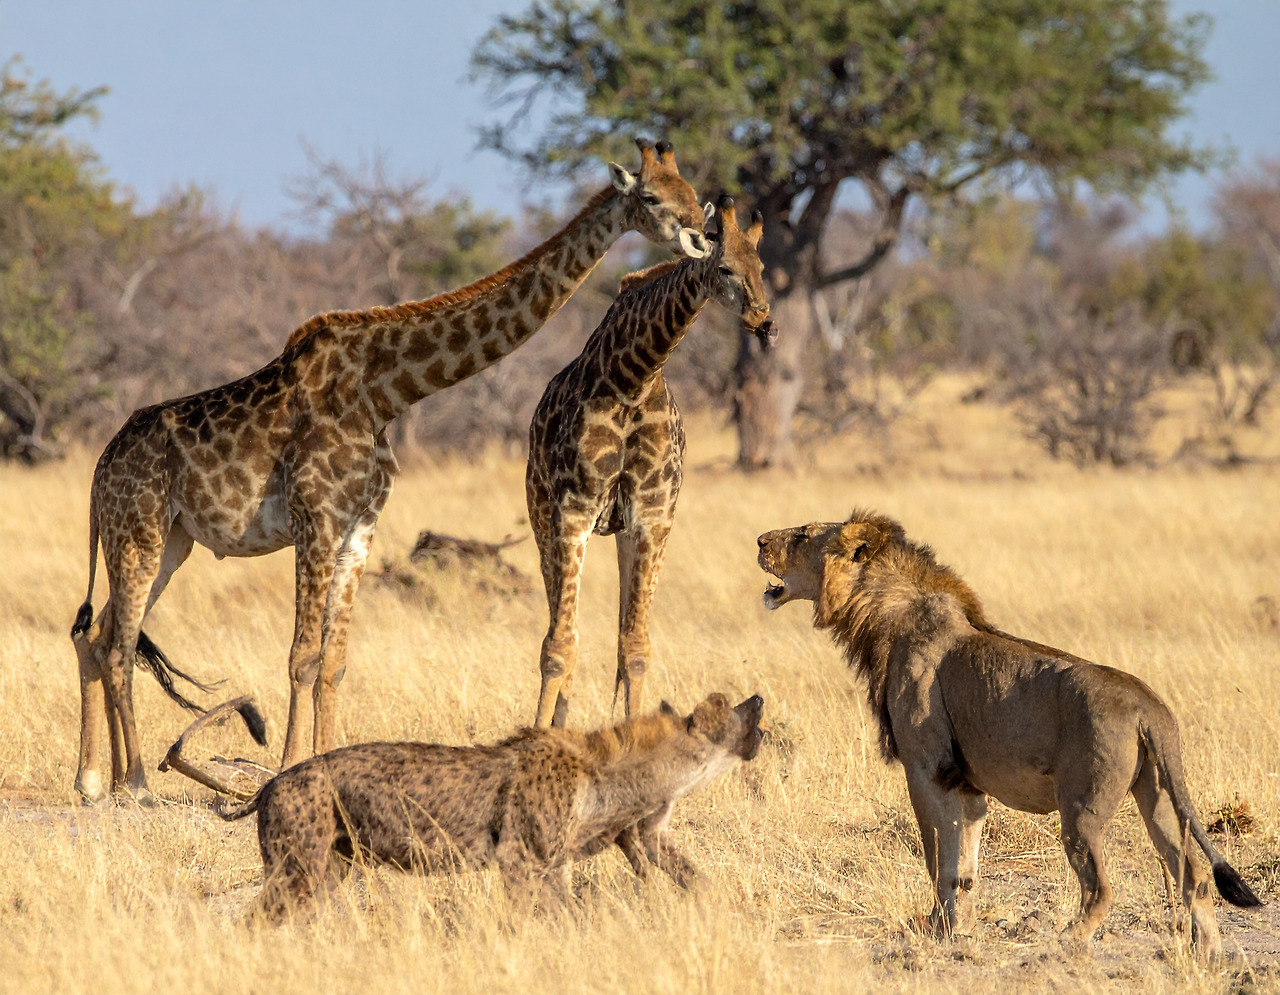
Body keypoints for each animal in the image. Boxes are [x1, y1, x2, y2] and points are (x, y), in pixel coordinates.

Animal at [70, 139, 709, 804]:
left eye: (694, 191)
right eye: (652, 197)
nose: (702, 237)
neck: (385, 390)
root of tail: (99, 469)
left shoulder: (358, 530)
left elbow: (334, 661)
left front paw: (326, 770)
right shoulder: (316, 520)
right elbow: (302, 656)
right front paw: (286, 770)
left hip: (168, 542)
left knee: (99, 635)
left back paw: (96, 780)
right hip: (138, 535)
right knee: (117, 646)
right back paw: (135, 781)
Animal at [216, 693, 764, 918]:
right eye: (724, 704)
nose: (758, 698)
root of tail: (271, 781)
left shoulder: (552, 866)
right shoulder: (520, 862)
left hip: (331, 867)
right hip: (296, 871)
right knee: (253, 922)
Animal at [526, 195, 771, 728]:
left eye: (762, 267)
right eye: (724, 268)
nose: (765, 321)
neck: (633, 378)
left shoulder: (652, 517)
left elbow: (635, 646)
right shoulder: (572, 512)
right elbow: (557, 647)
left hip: (622, 532)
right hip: (541, 516)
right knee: (562, 628)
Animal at [756, 509, 1260, 957]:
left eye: (803, 534)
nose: (759, 540)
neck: (885, 614)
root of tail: (1148, 706)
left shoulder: (926, 770)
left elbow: (937, 860)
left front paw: (937, 929)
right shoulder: (969, 785)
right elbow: (966, 868)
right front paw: (960, 929)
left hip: (1081, 807)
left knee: (1101, 888)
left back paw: (1062, 944)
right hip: (1156, 796)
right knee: (1194, 876)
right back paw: (1209, 954)